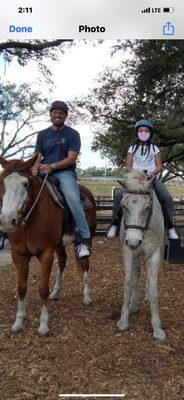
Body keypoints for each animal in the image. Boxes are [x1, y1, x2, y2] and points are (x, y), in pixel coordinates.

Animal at [0, 155, 97, 336]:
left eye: (25, 184)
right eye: (2, 182)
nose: (8, 221)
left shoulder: (46, 253)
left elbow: (42, 288)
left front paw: (43, 325)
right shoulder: (18, 255)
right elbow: (21, 288)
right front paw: (18, 323)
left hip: (87, 238)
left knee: (84, 264)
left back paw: (86, 297)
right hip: (59, 245)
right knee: (63, 261)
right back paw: (55, 292)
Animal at [117, 170, 166, 340]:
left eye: (147, 207)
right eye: (123, 206)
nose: (133, 241)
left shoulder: (154, 254)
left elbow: (153, 288)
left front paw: (157, 328)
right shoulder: (128, 251)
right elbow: (128, 282)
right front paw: (123, 320)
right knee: (136, 274)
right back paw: (134, 304)